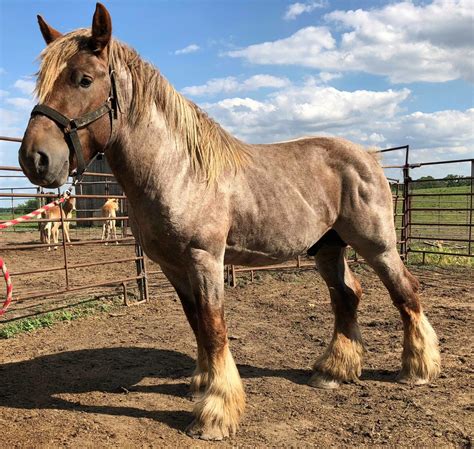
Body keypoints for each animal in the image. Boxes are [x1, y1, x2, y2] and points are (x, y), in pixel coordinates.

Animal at [18, 1, 440, 440]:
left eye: (84, 80)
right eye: (42, 83)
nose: (35, 159)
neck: (178, 169)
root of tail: (369, 158)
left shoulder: (205, 258)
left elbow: (213, 325)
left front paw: (215, 413)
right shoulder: (172, 266)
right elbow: (196, 324)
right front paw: (203, 385)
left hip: (378, 245)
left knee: (405, 292)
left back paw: (417, 369)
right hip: (327, 248)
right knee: (346, 296)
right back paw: (333, 371)